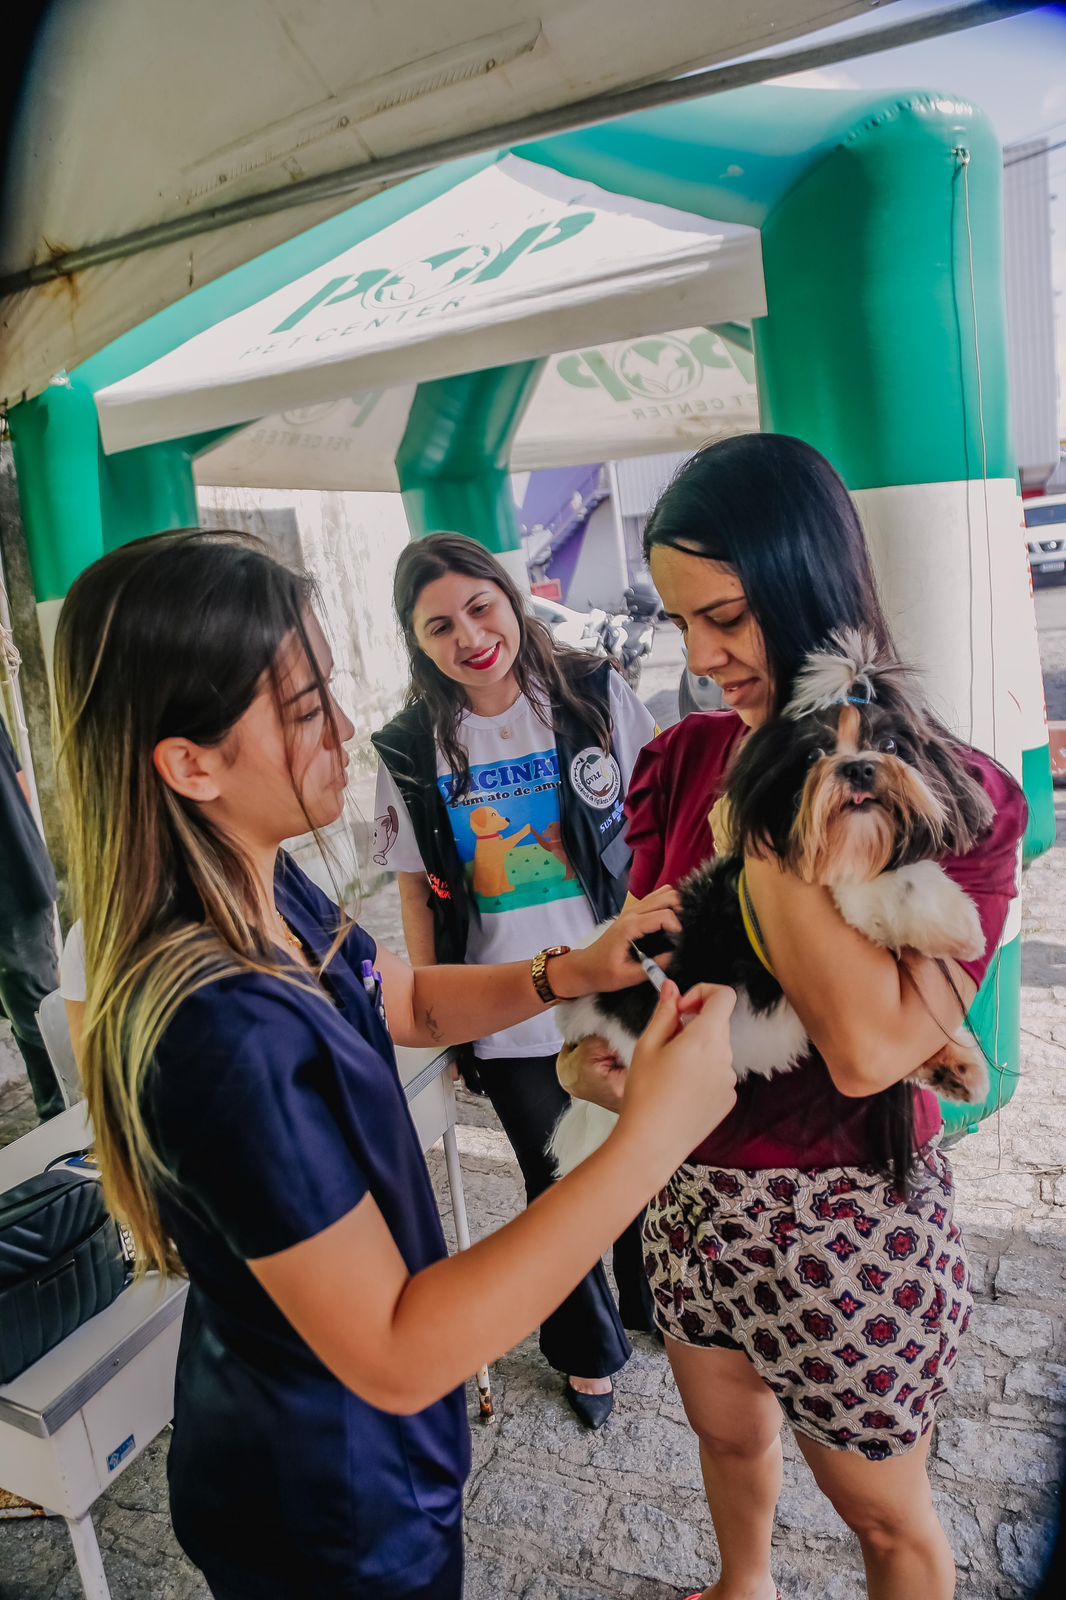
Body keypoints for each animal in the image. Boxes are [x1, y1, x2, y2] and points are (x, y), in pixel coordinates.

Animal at [547, 633, 998, 1177]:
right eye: (815, 754)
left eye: (890, 746)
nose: (860, 766)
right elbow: (884, 883)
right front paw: (956, 922)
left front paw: (952, 1059)